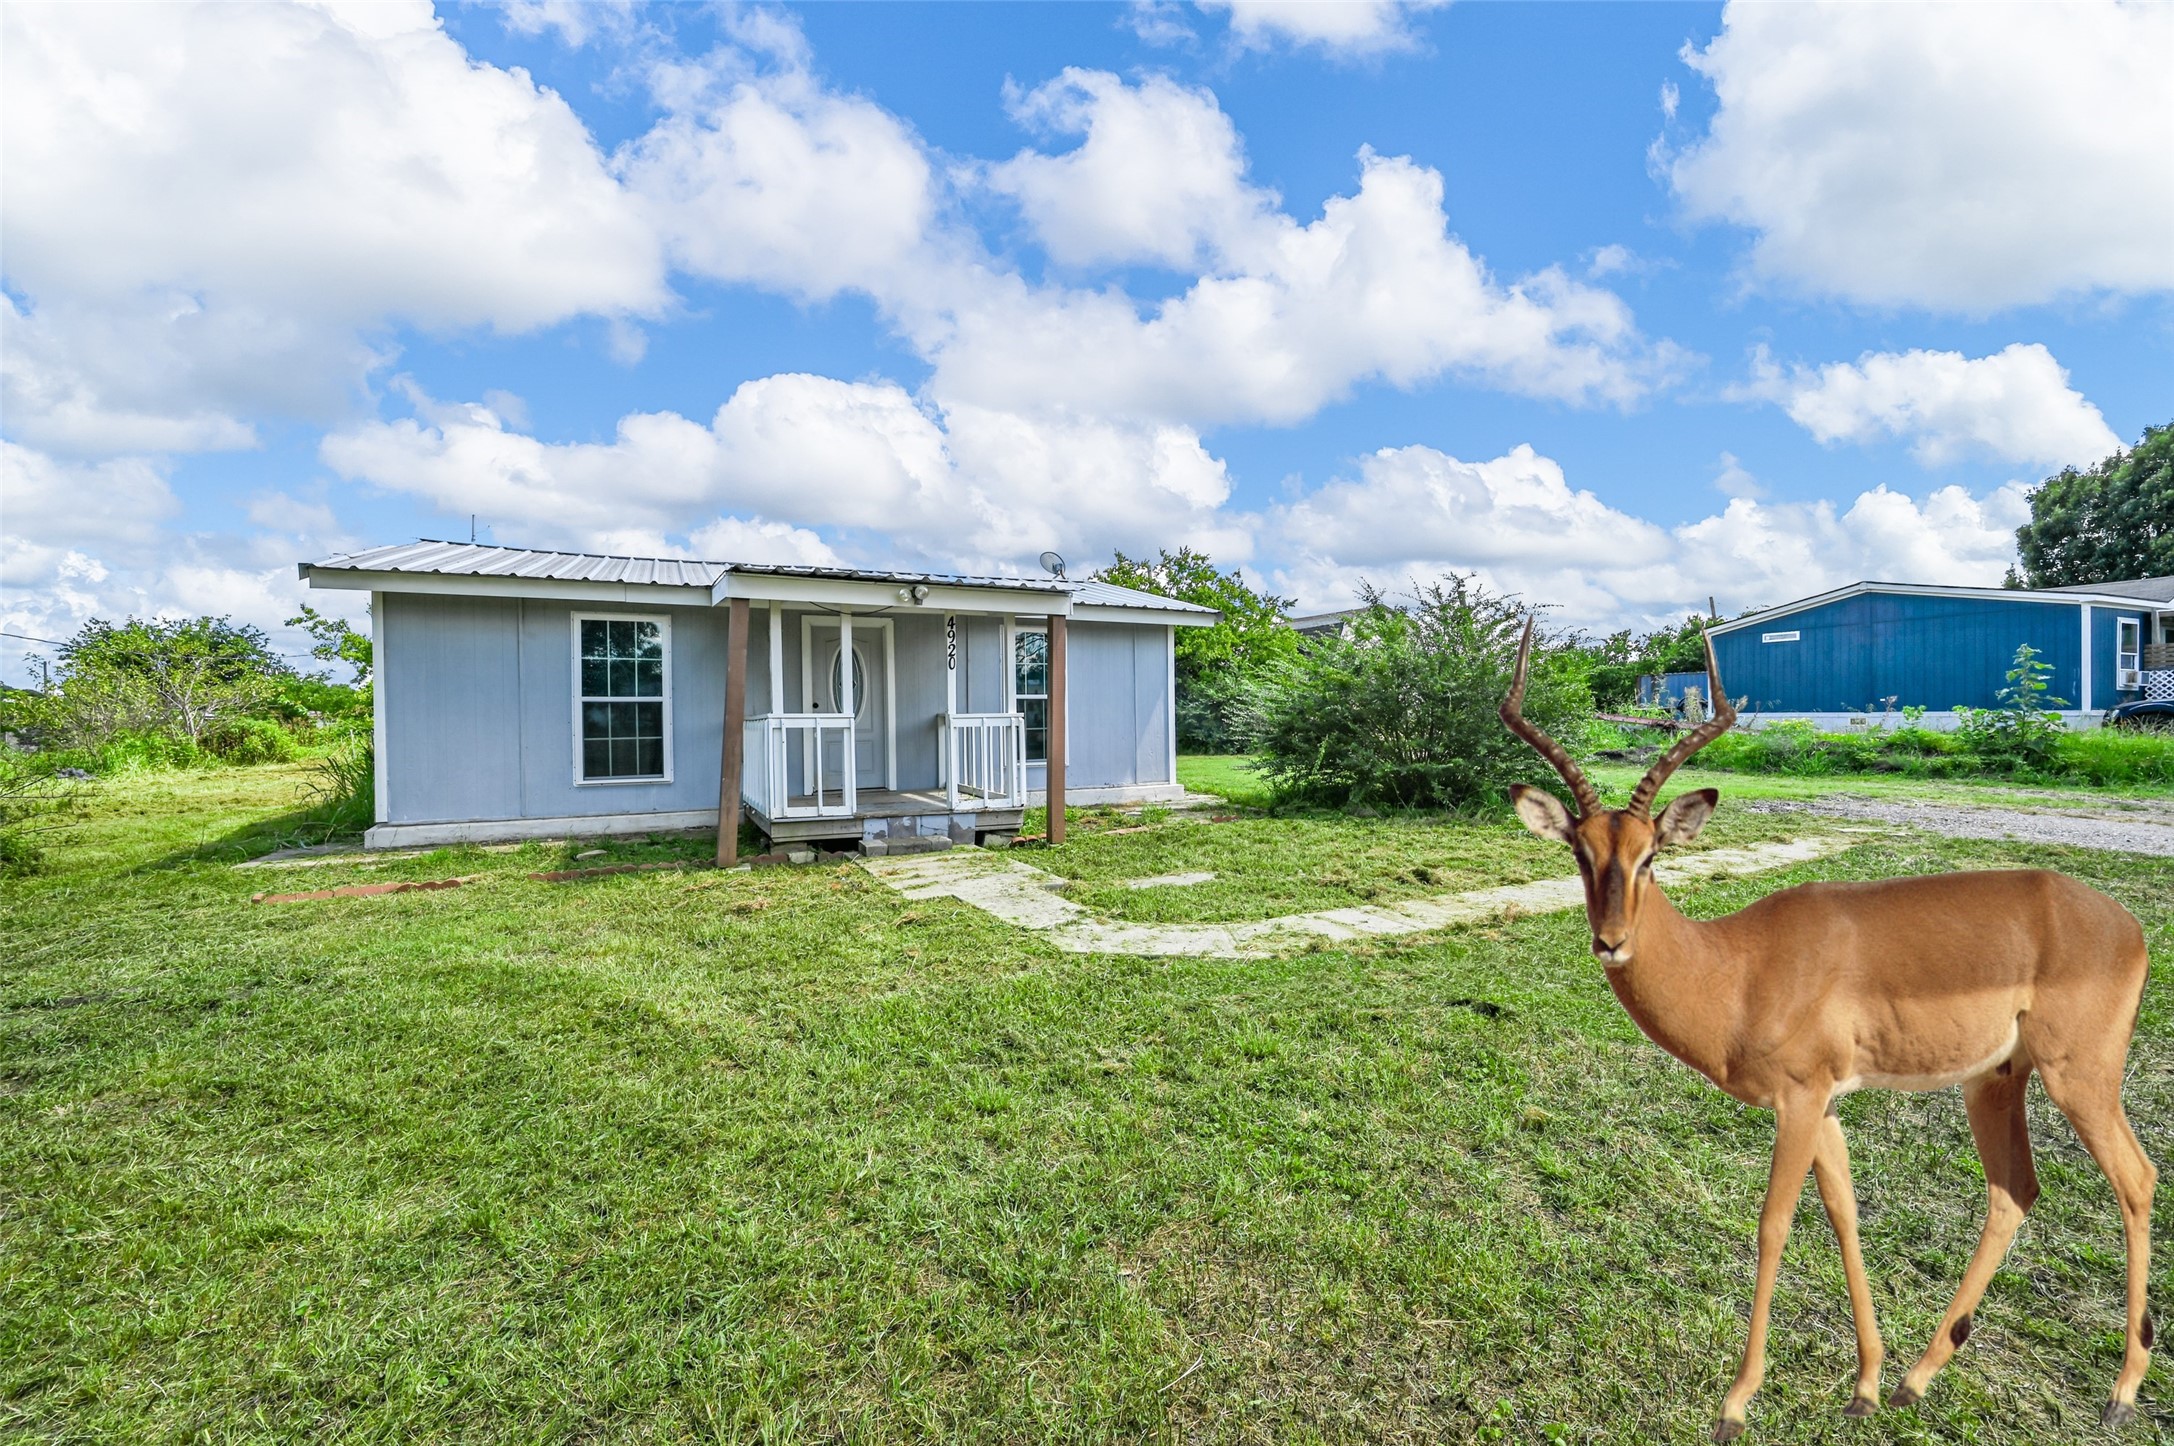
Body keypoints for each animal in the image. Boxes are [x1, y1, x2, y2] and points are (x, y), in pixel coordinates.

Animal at [1499, 618, 2155, 1441]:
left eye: (1650, 856)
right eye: (1580, 852)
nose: (1611, 941)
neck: (1735, 968)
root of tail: (2125, 927)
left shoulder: (1800, 1100)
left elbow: (1774, 1224)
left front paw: (1736, 1403)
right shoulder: (1831, 1108)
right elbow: (1846, 1218)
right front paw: (1866, 1385)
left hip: (2081, 1078)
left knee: (2137, 1181)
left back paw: (2122, 1393)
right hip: (1993, 1083)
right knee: (2014, 1192)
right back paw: (1914, 1381)